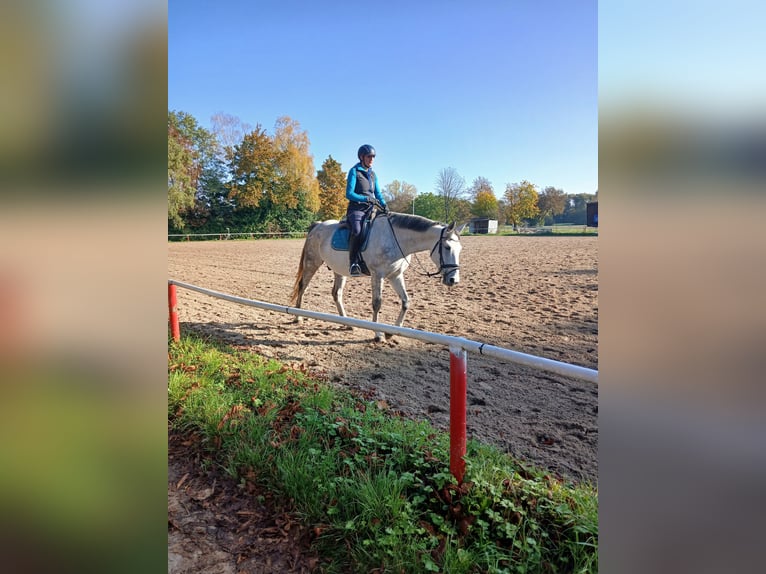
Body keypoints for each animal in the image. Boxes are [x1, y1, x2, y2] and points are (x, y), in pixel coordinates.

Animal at [290, 211, 467, 342]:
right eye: (447, 247)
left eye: (460, 249)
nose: (453, 280)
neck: (396, 239)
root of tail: (318, 225)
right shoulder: (377, 275)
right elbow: (377, 304)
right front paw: (378, 334)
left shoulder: (395, 275)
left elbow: (406, 302)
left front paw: (390, 332)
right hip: (312, 262)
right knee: (303, 287)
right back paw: (298, 317)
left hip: (339, 270)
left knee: (336, 293)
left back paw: (347, 323)